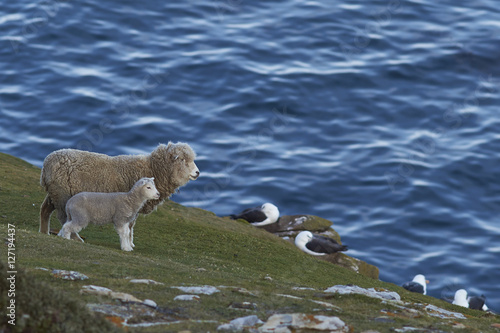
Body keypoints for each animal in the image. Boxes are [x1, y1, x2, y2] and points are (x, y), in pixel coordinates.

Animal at [39, 141, 199, 235]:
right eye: (183, 160)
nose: (197, 172)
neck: (152, 169)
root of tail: (47, 164)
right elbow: (130, 227)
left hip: (55, 194)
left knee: (45, 210)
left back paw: (44, 232)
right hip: (62, 195)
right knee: (63, 218)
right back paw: (76, 238)